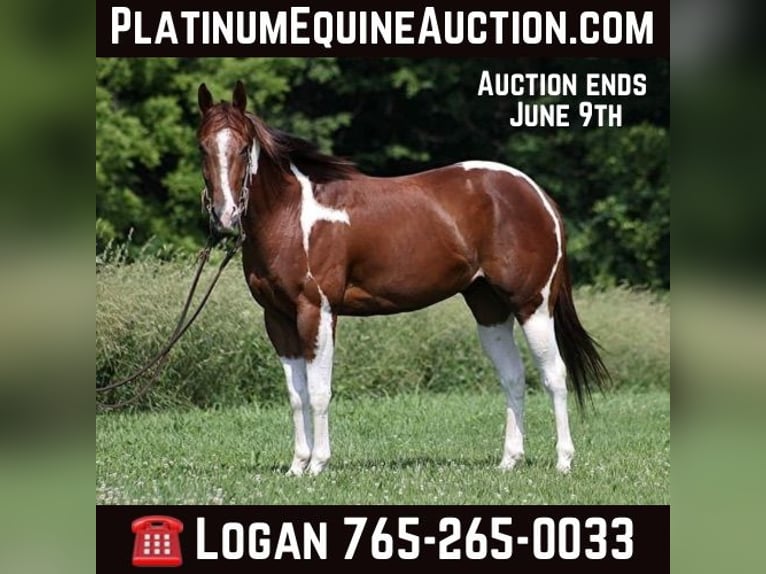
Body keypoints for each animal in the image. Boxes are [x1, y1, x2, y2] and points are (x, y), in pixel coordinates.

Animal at [196, 81, 609, 476]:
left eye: (243, 147)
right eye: (203, 148)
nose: (225, 216)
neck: (292, 217)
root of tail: (538, 195)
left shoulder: (317, 312)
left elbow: (319, 391)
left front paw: (318, 464)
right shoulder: (278, 319)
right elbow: (297, 395)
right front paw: (297, 465)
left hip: (532, 305)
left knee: (554, 375)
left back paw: (563, 460)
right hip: (489, 309)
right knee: (513, 377)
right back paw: (510, 460)